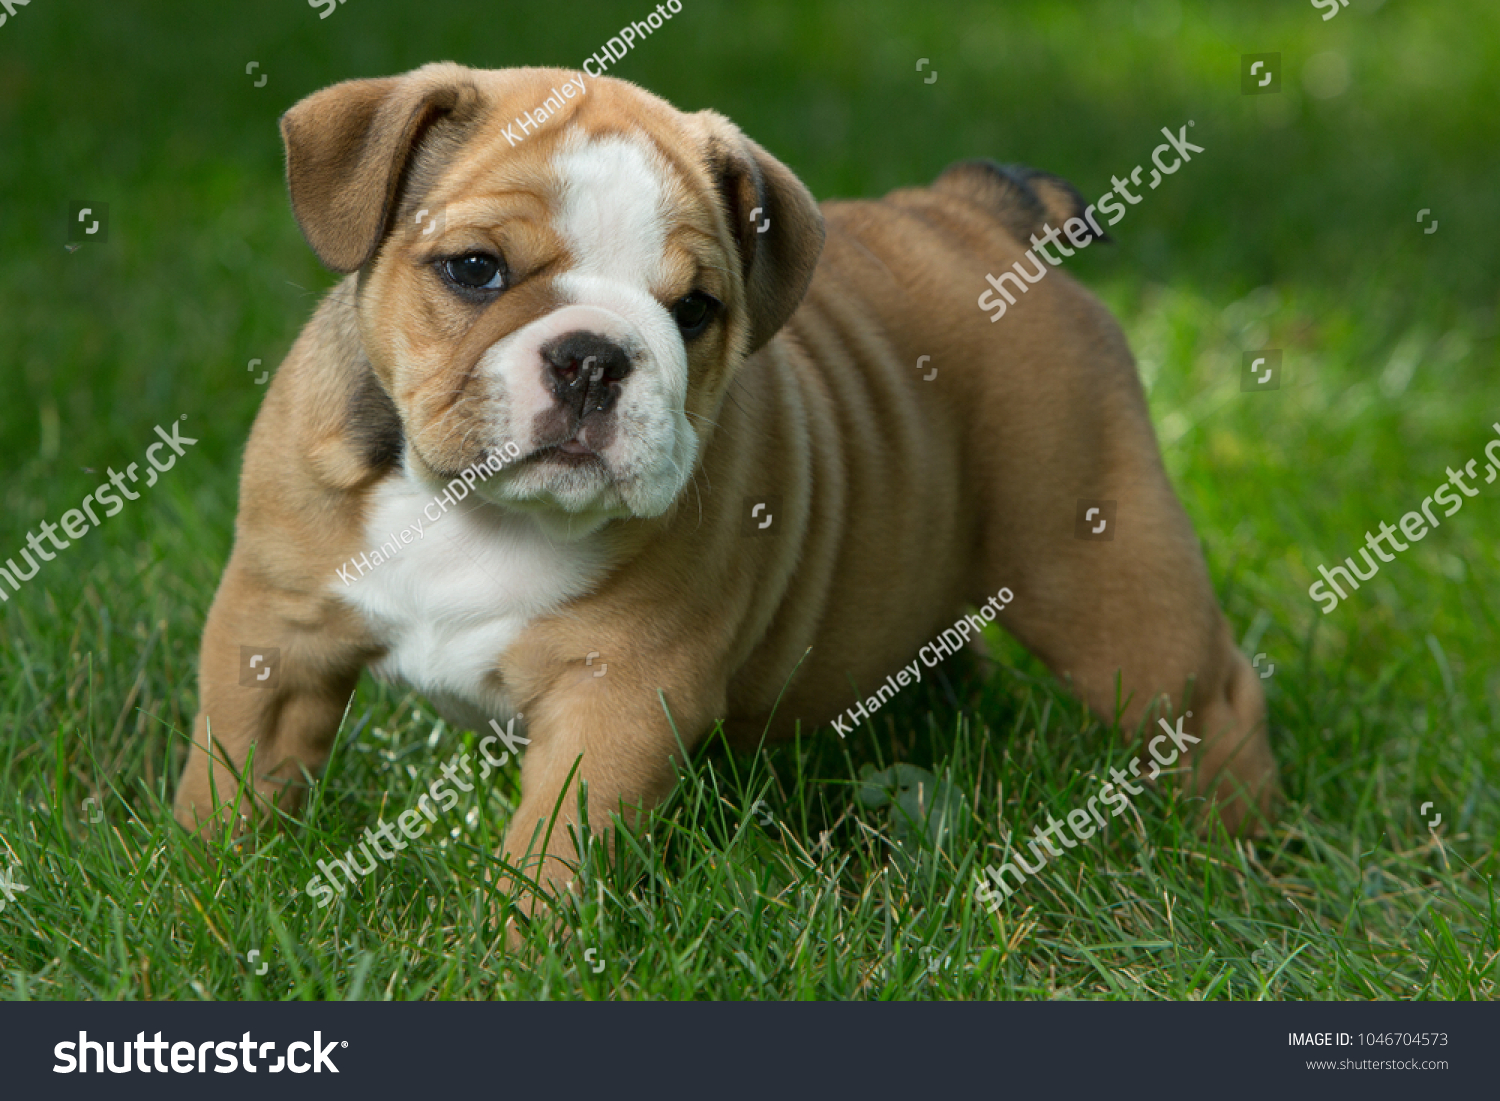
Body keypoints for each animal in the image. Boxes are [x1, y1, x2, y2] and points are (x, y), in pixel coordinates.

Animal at [175, 64, 1278, 936]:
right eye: (475, 269)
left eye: (695, 310)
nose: (592, 357)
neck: (475, 507)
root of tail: (980, 213)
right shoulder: (275, 633)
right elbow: (234, 774)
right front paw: (201, 888)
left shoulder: (617, 693)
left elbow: (556, 845)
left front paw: (517, 948)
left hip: (1101, 566)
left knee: (1207, 694)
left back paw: (1231, 848)